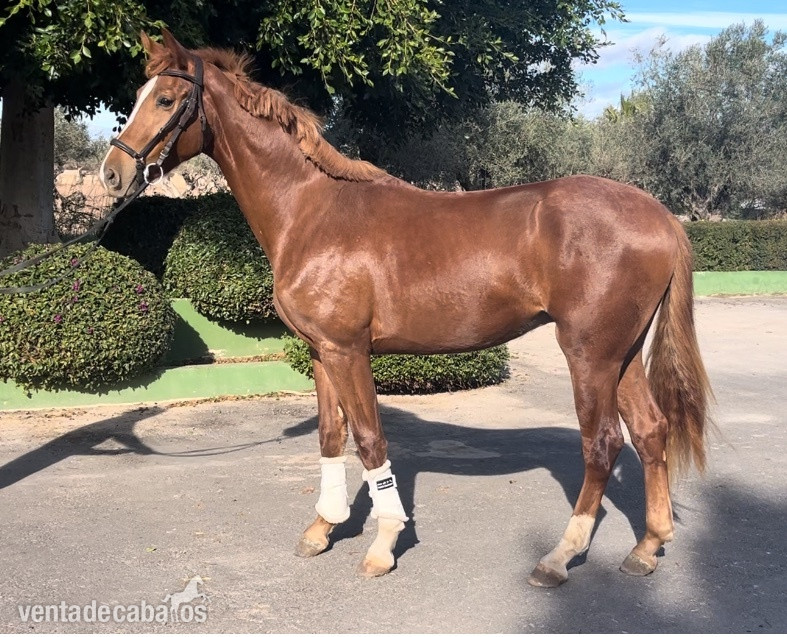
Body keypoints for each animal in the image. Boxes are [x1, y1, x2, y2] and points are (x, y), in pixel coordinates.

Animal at [100, 29, 712, 587]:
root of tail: (660, 215)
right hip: (621, 354)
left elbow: (371, 441)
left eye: (165, 100)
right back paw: (647, 547)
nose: (112, 173)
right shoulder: (320, 353)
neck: (312, 212)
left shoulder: (348, 351)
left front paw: (383, 544)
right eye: (137, 94)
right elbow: (331, 436)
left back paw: (559, 556)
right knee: (650, 431)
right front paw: (322, 528)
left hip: (589, 354)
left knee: (603, 443)